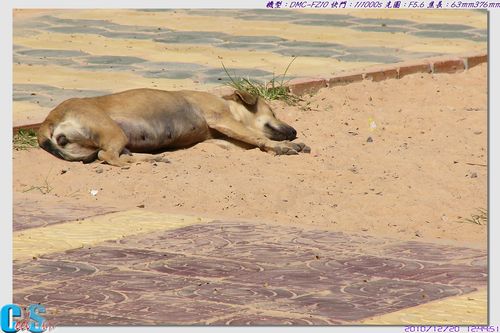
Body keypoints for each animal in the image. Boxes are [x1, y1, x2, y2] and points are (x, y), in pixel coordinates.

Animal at [37, 88, 310, 166]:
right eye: (273, 111)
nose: (295, 130)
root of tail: (50, 117)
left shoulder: (224, 137)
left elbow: (253, 142)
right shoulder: (223, 119)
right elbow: (259, 137)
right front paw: (286, 146)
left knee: (110, 154)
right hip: (114, 131)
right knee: (108, 156)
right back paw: (139, 163)